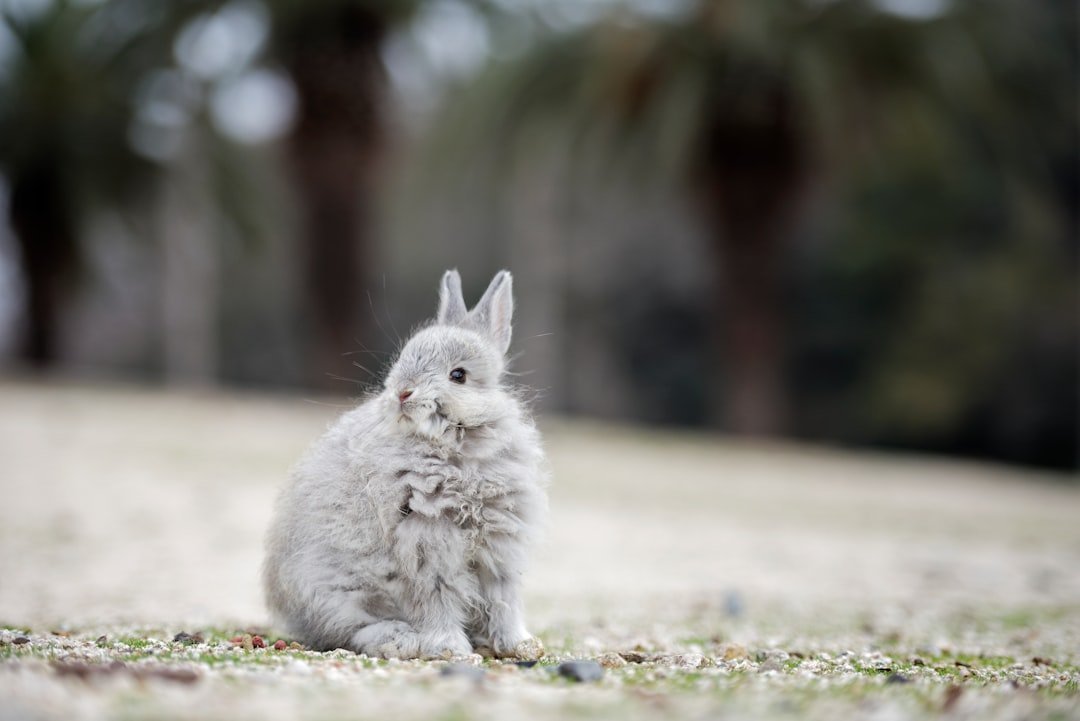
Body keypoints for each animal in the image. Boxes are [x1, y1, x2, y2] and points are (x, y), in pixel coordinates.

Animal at [263, 270, 548, 661]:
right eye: (404, 358)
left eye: (458, 375)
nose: (402, 392)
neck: (454, 445)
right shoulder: (429, 548)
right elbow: (438, 601)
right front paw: (451, 649)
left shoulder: (499, 551)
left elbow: (502, 602)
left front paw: (520, 646)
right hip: (337, 591)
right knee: (351, 631)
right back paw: (403, 641)